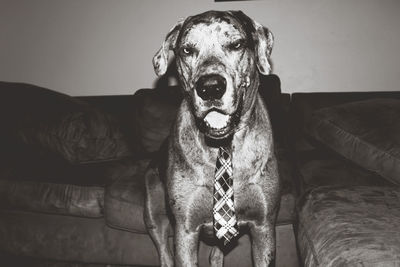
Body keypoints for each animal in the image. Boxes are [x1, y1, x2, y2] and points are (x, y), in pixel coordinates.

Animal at [145, 10, 280, 267]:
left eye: (237, 44)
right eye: (187, 50)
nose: (210, 87)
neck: (223, 147)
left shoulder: (264, 226)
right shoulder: (185, 230)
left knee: (216, 252)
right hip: (153, 210)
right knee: (164, 249)